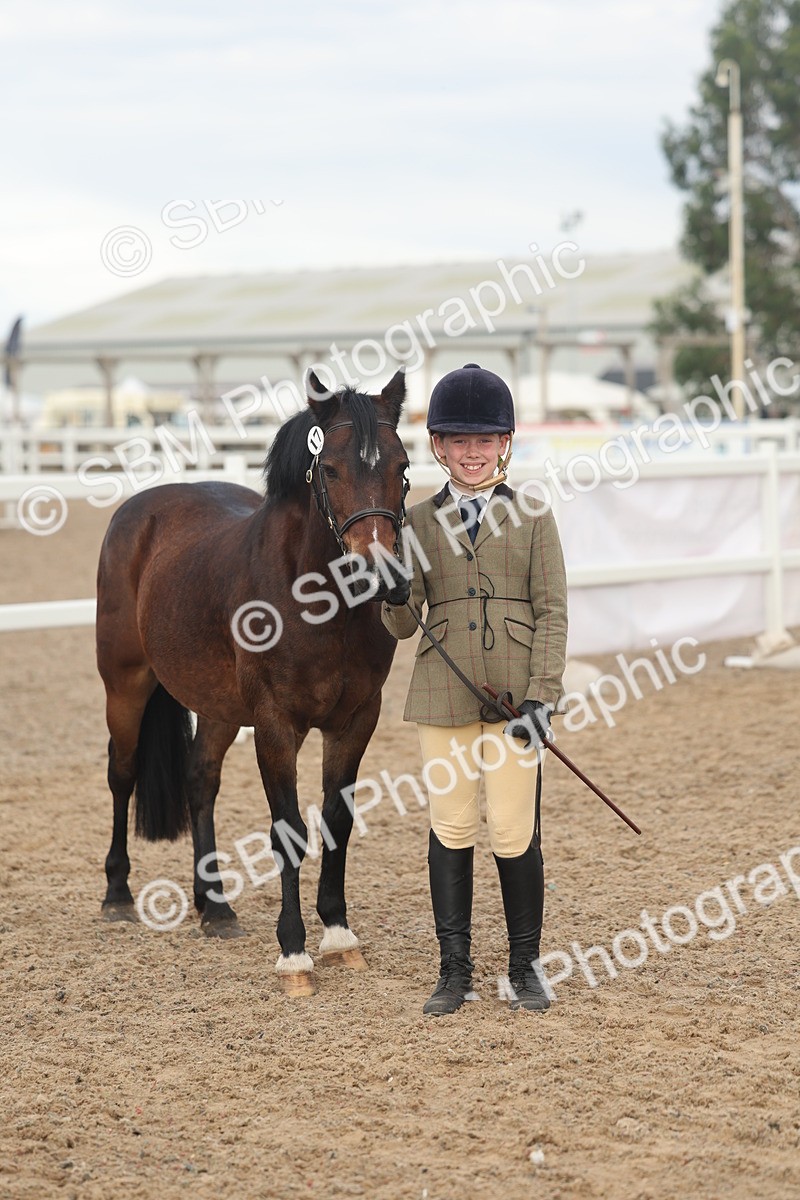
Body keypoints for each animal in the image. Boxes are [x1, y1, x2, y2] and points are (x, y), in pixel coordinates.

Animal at [96, 370, 411, 995]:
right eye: (330, 469)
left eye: (404, 467)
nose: (379, 577)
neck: (318, 603)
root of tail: (138, 510)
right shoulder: (274, 723)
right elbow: (287, 829)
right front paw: (294, 954)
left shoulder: (356, 719)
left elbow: (336, 821)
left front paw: (339, 935)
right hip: (125, 686)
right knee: (122, 773)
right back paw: (118, 894)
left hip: (218, 708)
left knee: (200, 780)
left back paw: (214, 905)